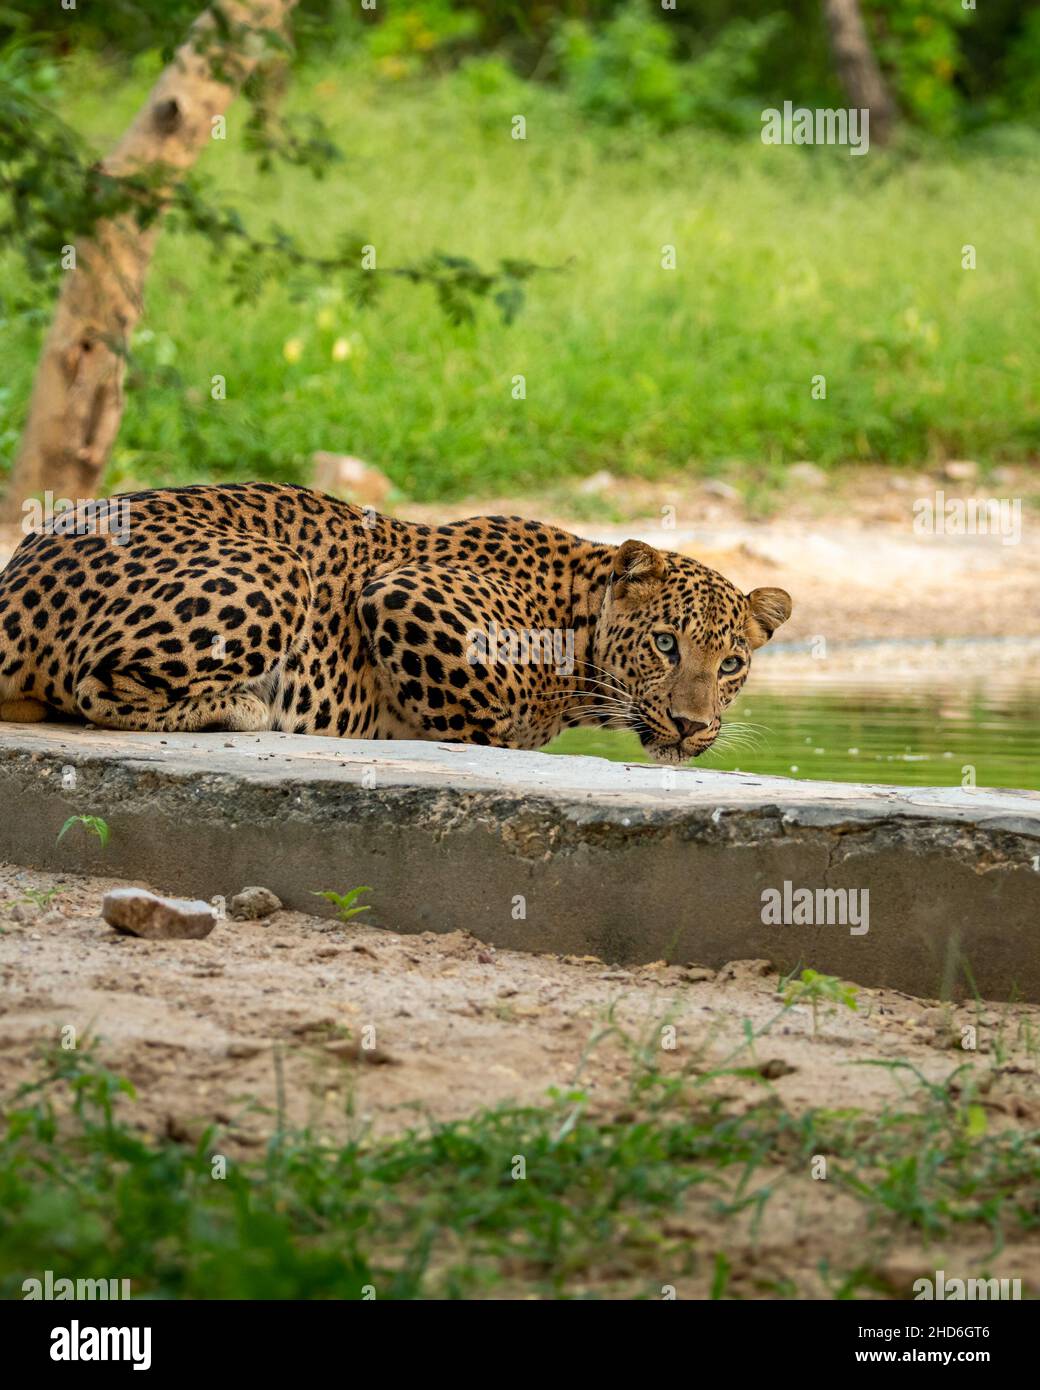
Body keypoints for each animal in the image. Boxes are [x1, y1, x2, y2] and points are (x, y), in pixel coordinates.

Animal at [0, 483, 789, 767]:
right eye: (665, 644)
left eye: (730, 664)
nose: (690, 725)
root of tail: (21, 564)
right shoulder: (403, 591)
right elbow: (487, 716)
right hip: (280, 567)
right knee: (96, 686)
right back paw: (244, 705)